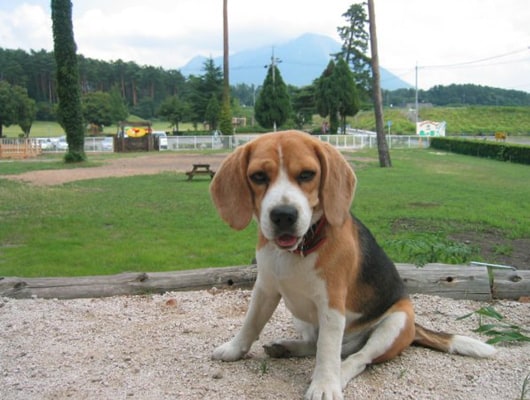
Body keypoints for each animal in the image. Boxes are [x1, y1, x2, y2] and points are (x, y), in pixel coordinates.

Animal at [208, 130, 492, 398]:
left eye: (307, 174)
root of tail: (415, 328)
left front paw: (324, 386)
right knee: (316, 345)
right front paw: (234, 349)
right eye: (258, 176)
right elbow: (251, 322)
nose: (284, 215)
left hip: (394, 323)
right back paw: (286, 348)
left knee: (356, 358)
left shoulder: (332, 304)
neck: (299, 249)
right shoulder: (265, 288)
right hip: (301, 317)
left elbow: (327, 351)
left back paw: (339, 373)